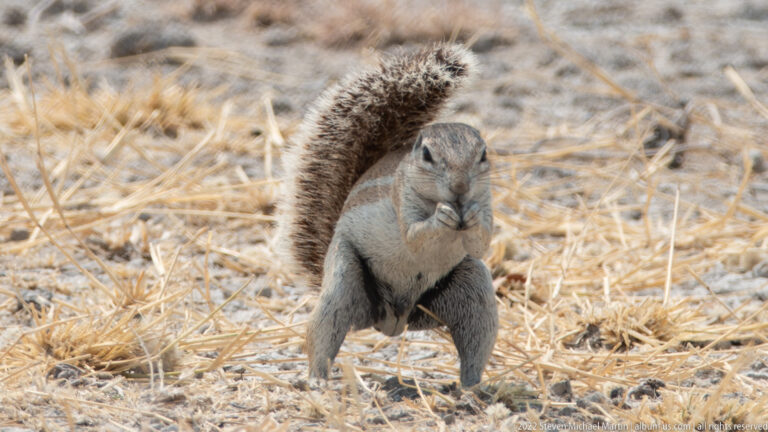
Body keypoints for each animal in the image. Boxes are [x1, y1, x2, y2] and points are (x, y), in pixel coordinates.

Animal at [280, 44, 498, 387]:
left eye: (483, 154)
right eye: (427, 154)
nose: (461, 187)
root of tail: (393, 321)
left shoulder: (487, 202)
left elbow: (481, 243)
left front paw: (472, 217)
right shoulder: (401, 200)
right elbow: (414, 236)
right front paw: (440, 217)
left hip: (472, 290)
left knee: (474, 341)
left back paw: (472, 387)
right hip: (344, 276)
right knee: (324, 330)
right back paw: (317, 378)